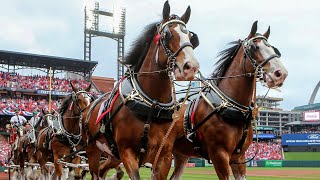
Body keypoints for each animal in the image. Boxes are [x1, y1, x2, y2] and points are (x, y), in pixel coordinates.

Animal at [80, 1, 198, 179]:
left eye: (191, 37)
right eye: (167, 34)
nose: (191, 67)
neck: (152, 105)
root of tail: (89, 107)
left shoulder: (164, 155)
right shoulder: (126, 151)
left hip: (112, 156)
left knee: (102, 170)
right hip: (93, 149)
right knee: (95, 172)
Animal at [169, 20, 288, 179]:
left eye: (273, 48)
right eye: (255, 47)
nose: (281, 74)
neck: (229, 106)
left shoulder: (239, 158)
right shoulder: (219, 155)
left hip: (181, 155)